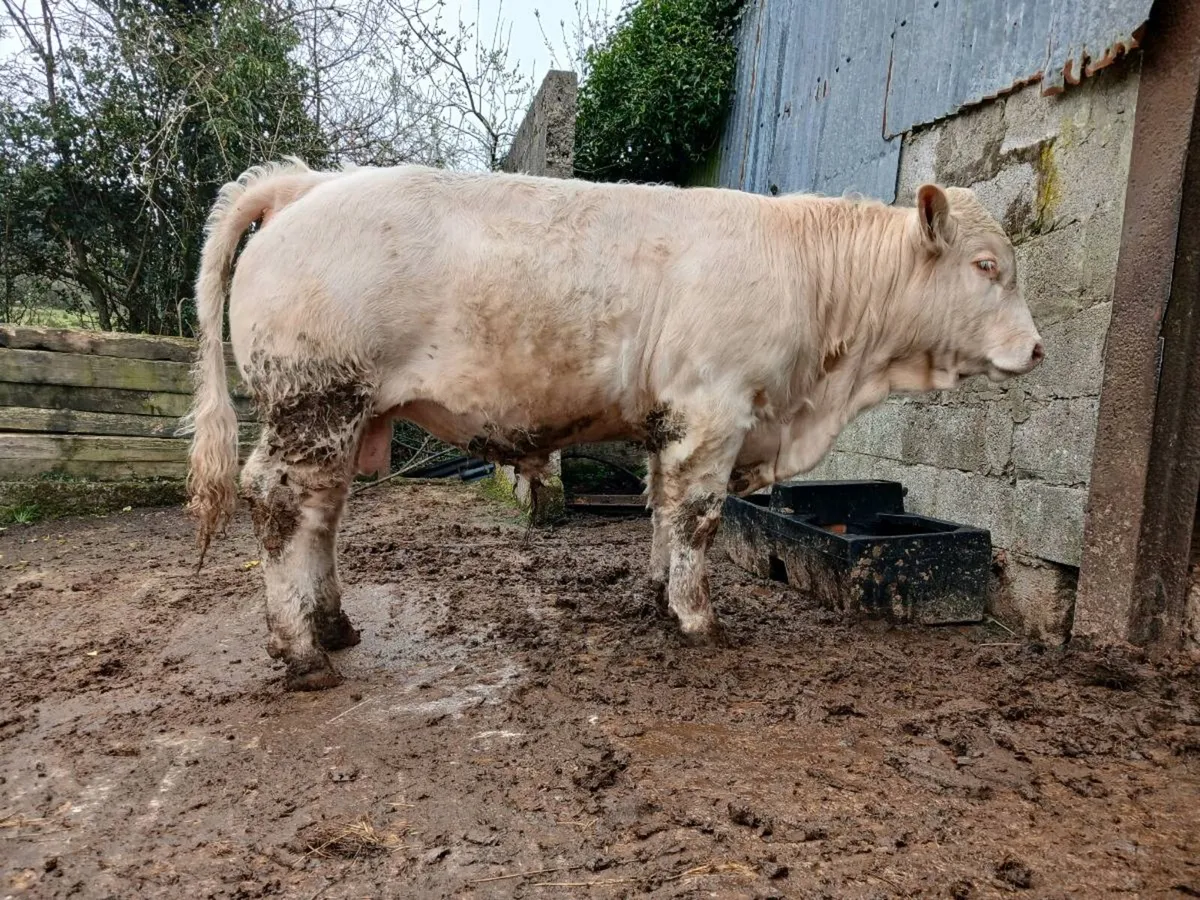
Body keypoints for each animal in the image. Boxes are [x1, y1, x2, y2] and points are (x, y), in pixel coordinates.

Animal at [181, 158, 1043, 691]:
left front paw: (657, 599)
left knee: (321, 517)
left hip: (340, 416)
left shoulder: (673, 421)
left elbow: (662, 509)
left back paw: (332, 626)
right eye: (987, 267)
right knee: (278, 504)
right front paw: (698, 620)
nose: (1038, 348)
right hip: (313, 401)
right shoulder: (713, 409)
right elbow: (699, 517)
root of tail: (309, 183)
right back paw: (301, 653)